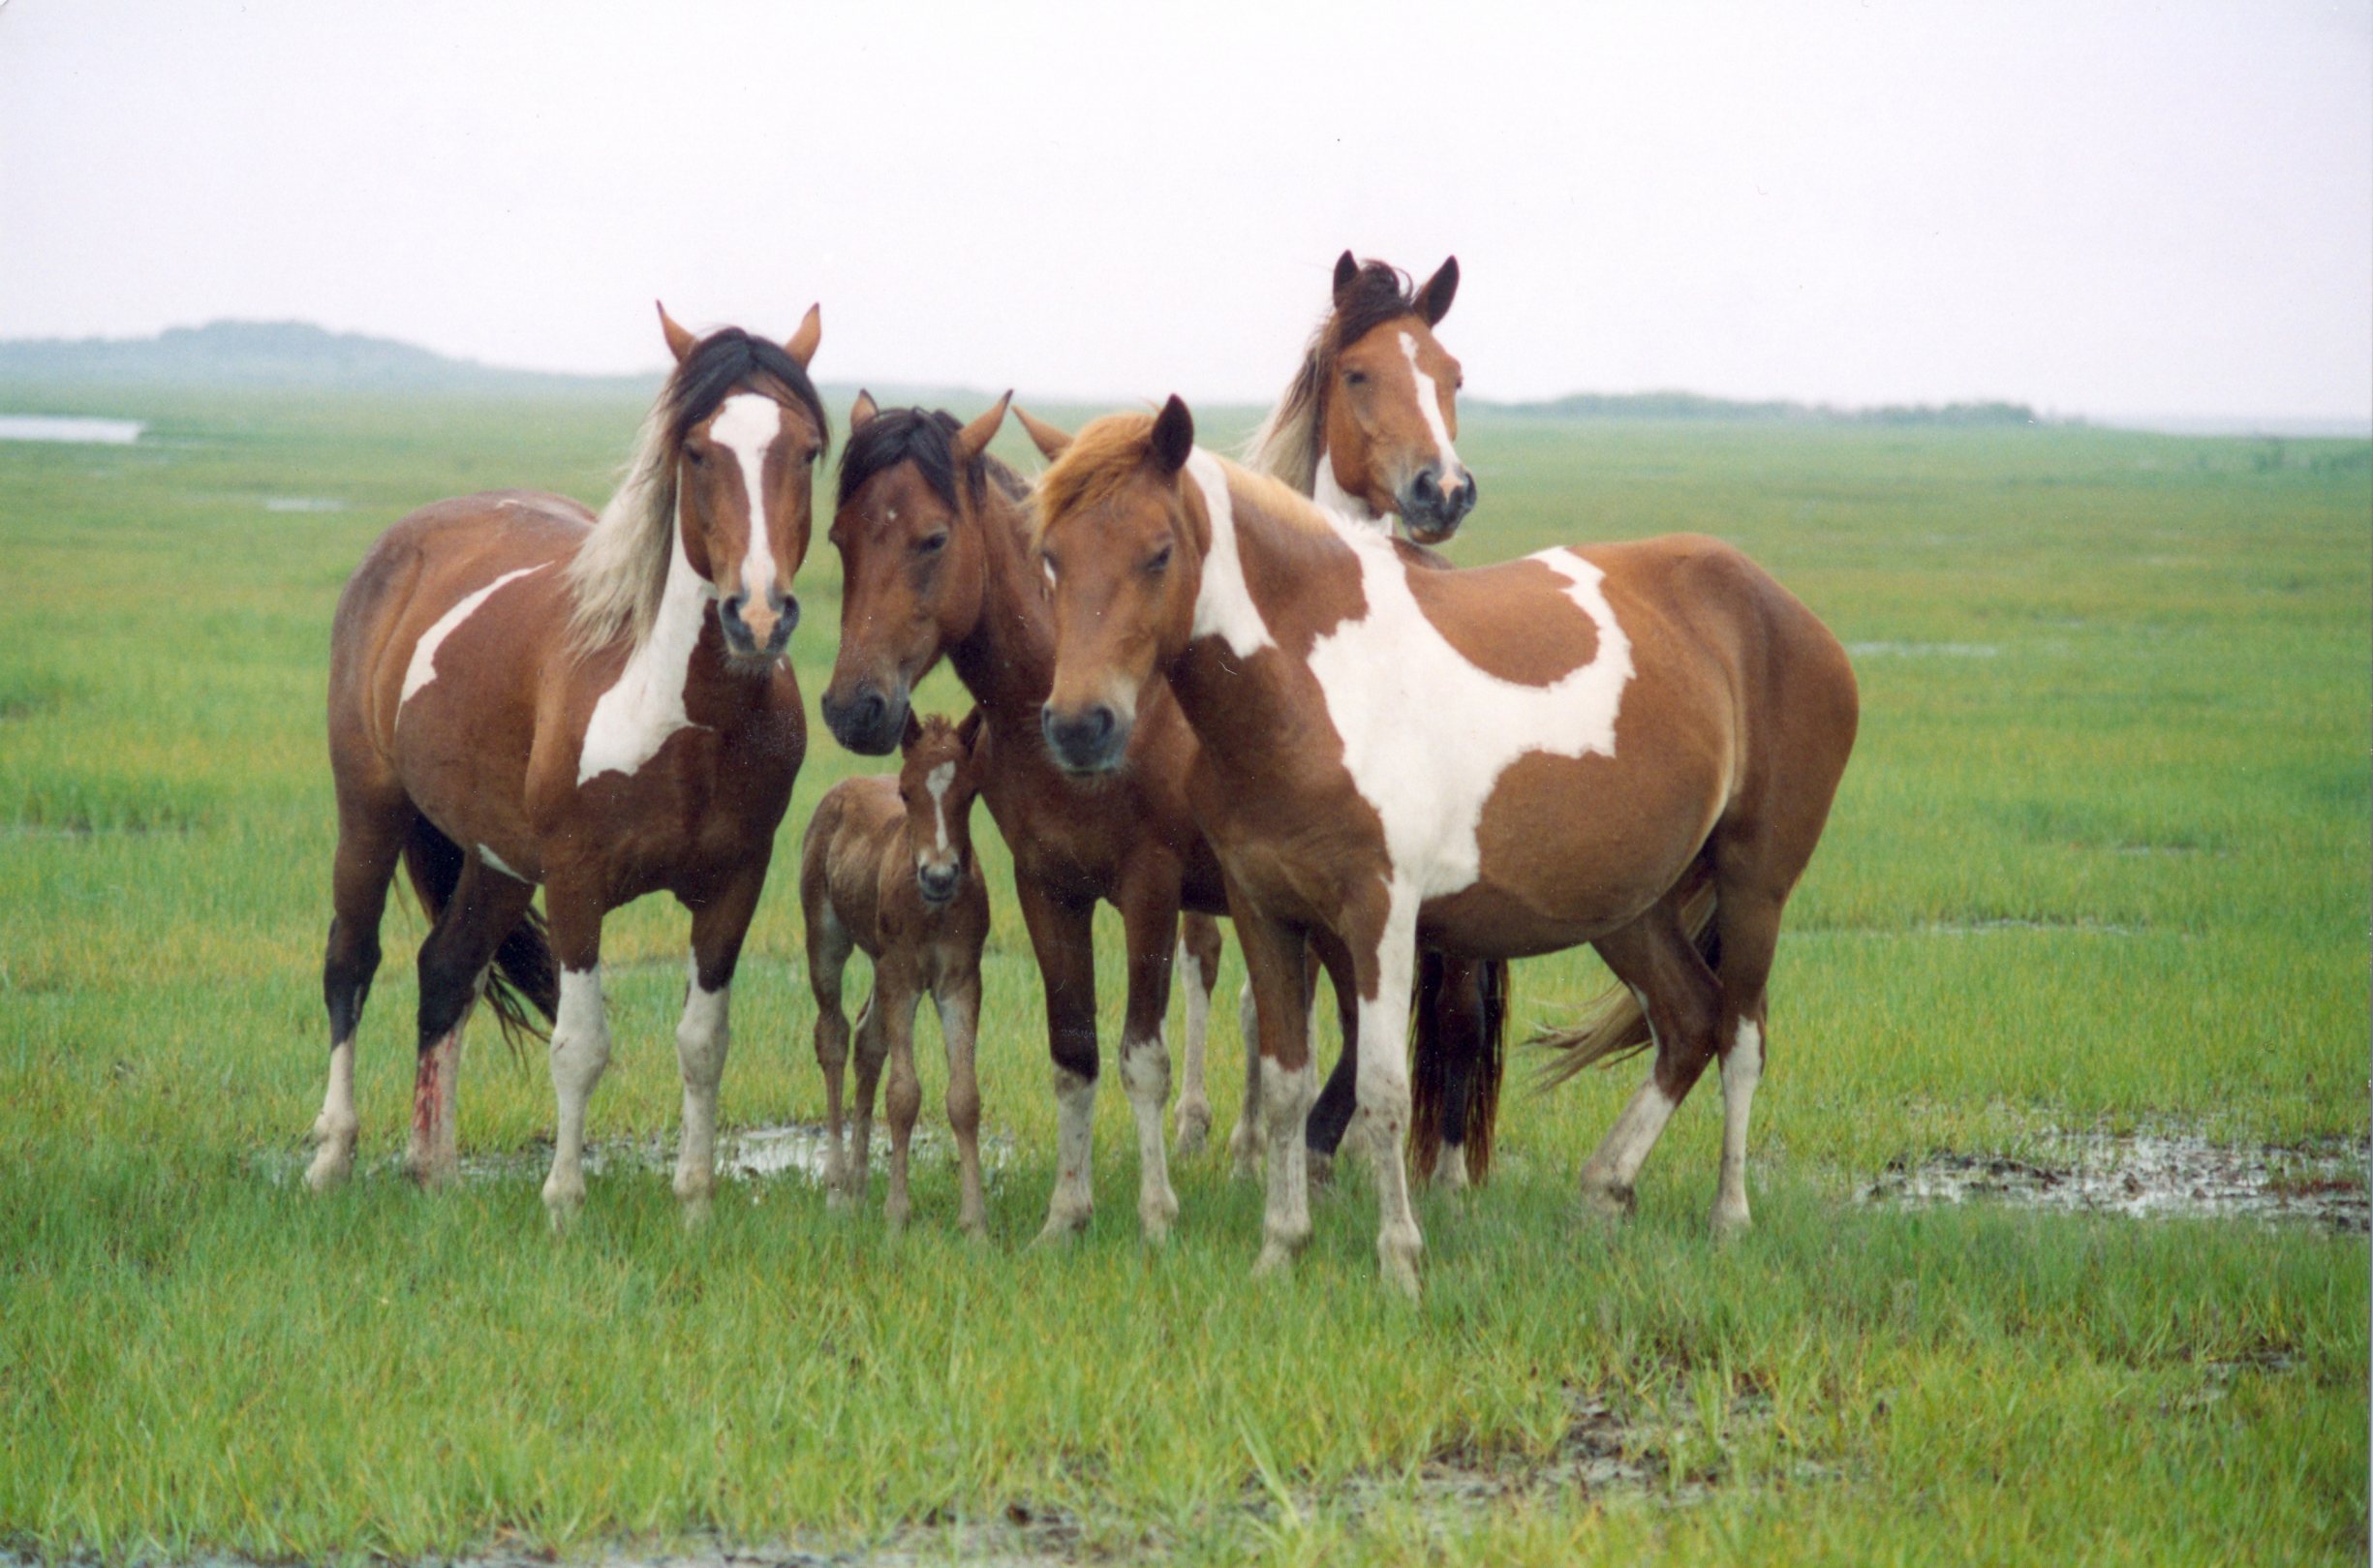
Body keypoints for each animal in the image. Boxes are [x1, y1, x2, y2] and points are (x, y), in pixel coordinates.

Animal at [310, 296, 835, 1223]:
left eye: (805, 449)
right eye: (697, 450)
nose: (758, 616)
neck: (680, 716)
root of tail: (405, 543)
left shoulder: (734, 883)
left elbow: (703, 1042)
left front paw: (695, 1205)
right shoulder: (578, 879)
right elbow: (580, 1044)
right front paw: (563, 1203)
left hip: (498, 860)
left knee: (445, 971)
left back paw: (434, 1172)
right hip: (369, 809)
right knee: (352, 961)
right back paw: (333, 1157)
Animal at [797, 711, 982, 1233]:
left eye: (970, 793)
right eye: (905, 792)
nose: (938, 876)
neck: (934, 910)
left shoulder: (960, 981)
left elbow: (964, 1098)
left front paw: (974, 1224)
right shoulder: (902, 977)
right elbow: (903, 1094)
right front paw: (898, 1217)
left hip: (880, 962)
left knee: (867, 1040)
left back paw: (859, 1185)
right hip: (827, 940)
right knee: (834, 1036)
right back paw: (837, 1189)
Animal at [1030, 398, 1860, 1290]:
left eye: (1157, 553)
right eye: (1051, 555)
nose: (1079, 725)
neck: (1314, 686)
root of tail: (1786, 612)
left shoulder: (1380, 915)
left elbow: (1383, 1089)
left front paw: (1399, 1260)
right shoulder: (1265, 910)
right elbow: (1286, 1083)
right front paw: (1280, 1248)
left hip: (1754, 887)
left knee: (1740, 1038)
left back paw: (1728, 1217)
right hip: (1626, 907)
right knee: (1688, 1020)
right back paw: (1605, 1189)